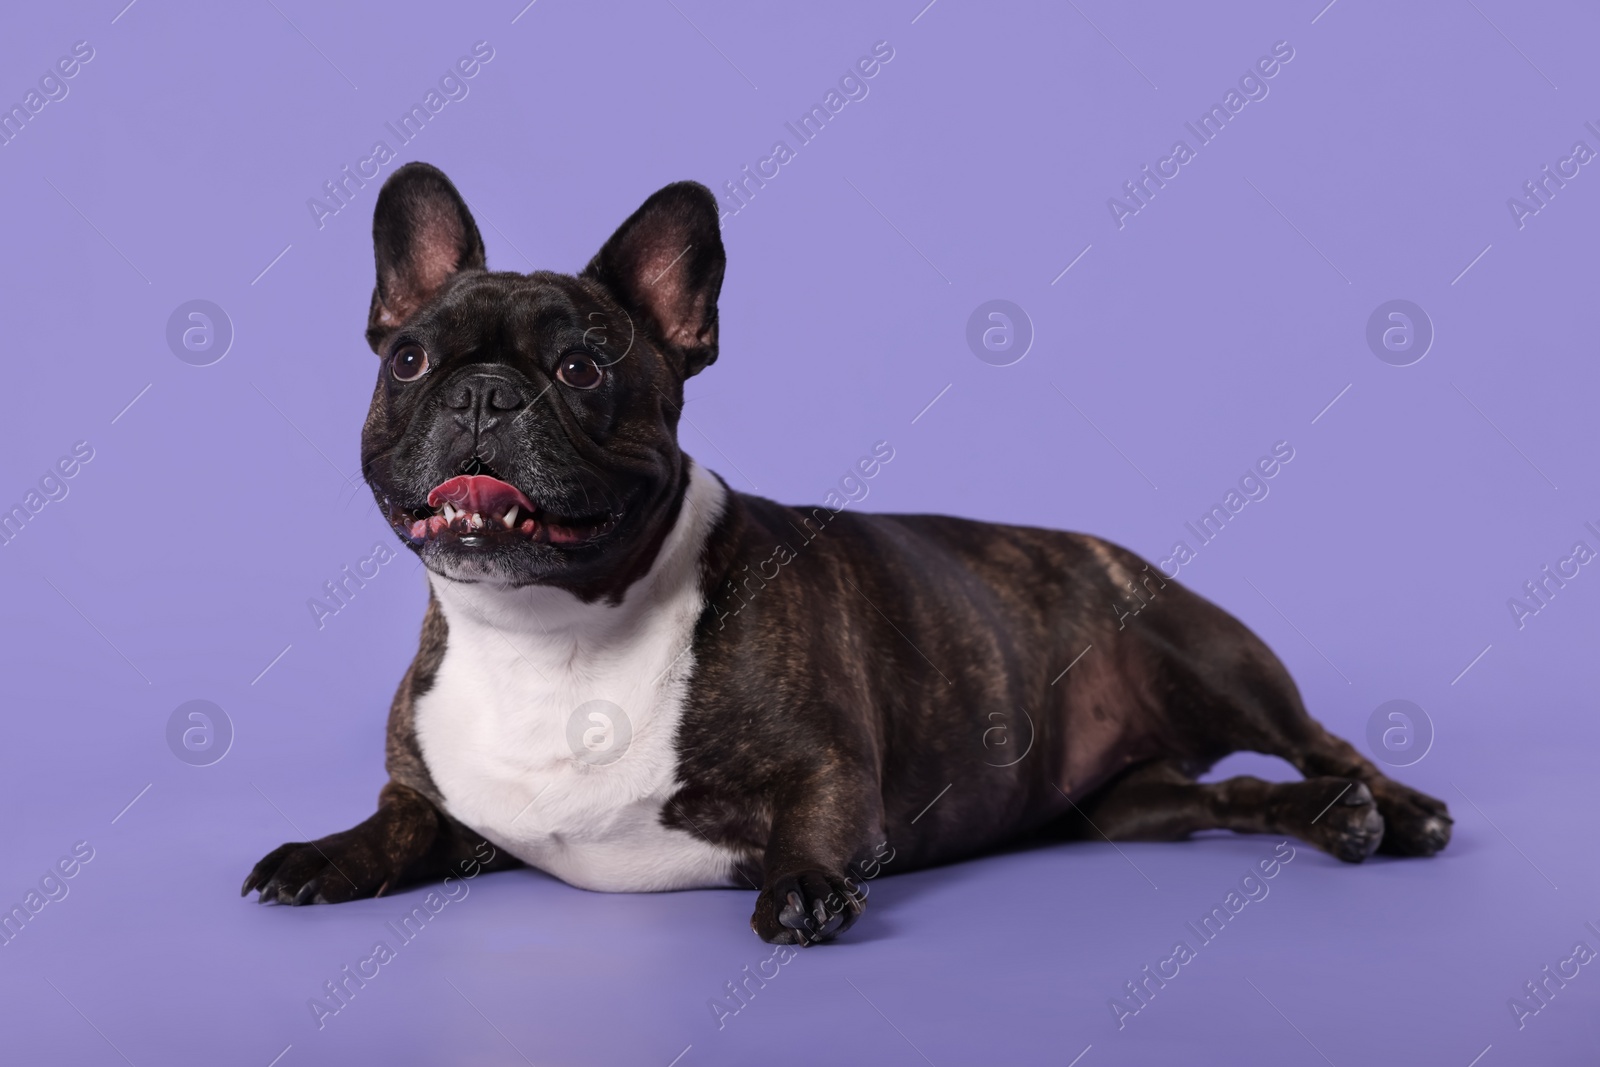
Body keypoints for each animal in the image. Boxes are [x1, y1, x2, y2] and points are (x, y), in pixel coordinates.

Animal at [240, 158, 1452, 940]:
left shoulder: (829, 761)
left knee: (1327, 743)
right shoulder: (438, 805)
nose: (483, 391)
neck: (551, 631)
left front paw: (806, 886)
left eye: (582, 368)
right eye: (408, 358)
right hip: (1124, 804)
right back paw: (1326, 821)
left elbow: (811, 819)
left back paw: (1397, 811)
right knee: (1220, 797)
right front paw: (320, 854)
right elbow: (392, 824)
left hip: (1213, 659)